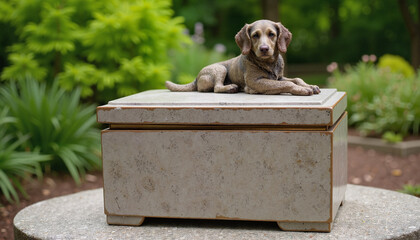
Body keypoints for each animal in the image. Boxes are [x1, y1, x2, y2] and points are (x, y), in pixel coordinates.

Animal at [166, 19, 320, 95]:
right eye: (255, 35)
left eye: (271, 34)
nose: (264, 49)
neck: (268, 64)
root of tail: (196, 79)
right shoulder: (256, 81)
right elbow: (288, 84)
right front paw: (302, 89)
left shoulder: (279, 77)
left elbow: (297, 79)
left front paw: (310, 86)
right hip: (220, 69)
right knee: (216, 88)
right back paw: (230, 88)